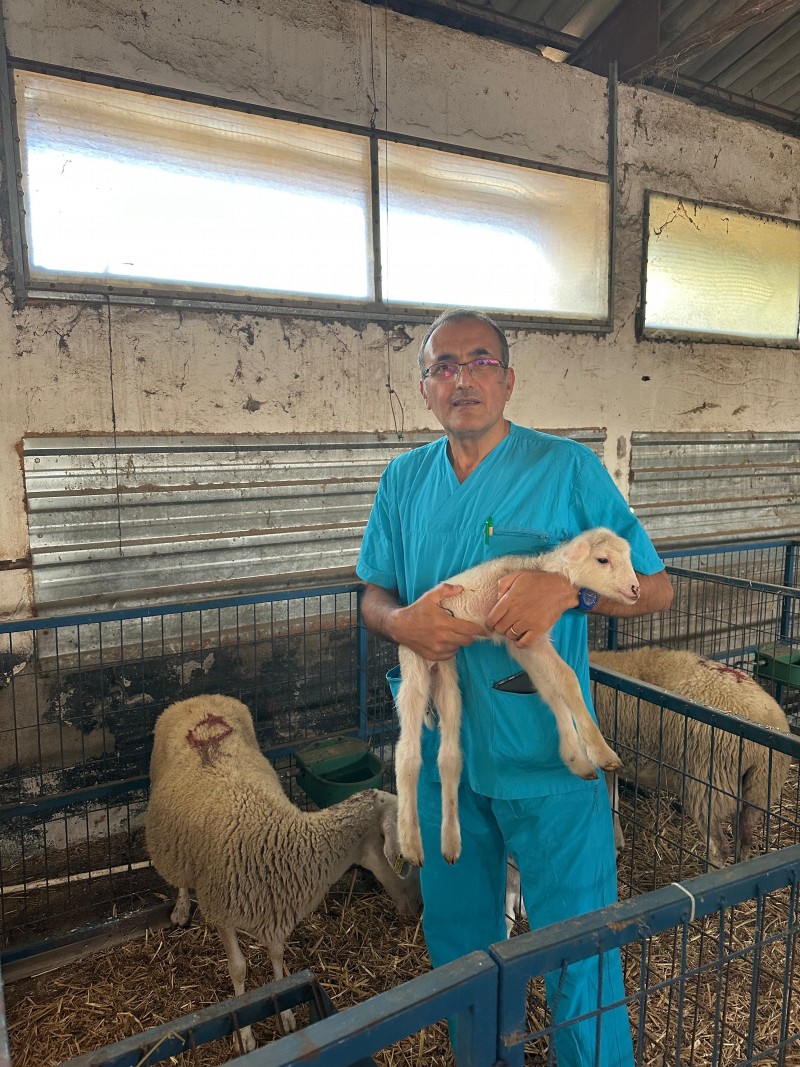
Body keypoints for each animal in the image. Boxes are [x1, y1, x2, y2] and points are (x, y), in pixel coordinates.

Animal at [145, 694, 421, 1053]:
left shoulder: (275, 906)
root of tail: (199, 699)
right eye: (404, 854)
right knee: (180, 877)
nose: (418, 908)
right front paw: (245, 1034)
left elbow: (277, 957)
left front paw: (286, 1014)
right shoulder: (221, 912)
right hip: (169, 834)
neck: (280, 841)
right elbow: (238, 969)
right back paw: (180, 907)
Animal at [396, 527, 641, 868]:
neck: (542, 568)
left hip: (447, 676)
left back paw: (451, 844)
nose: (635, 589)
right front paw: (600, 752)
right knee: (406, 754)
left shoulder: (523, 641)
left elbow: (551, 692)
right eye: (602, 560)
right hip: (416, 665)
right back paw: (411, 845)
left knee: (449, 758)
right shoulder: (530, 639)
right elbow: (568, 680)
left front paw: (575, 758)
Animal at [589, 648, 793, 868]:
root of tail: (767, 724)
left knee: (719, 849)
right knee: (744, 843)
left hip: (708, 784)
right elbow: (613, 800)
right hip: (757, 791)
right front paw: (616, 843)